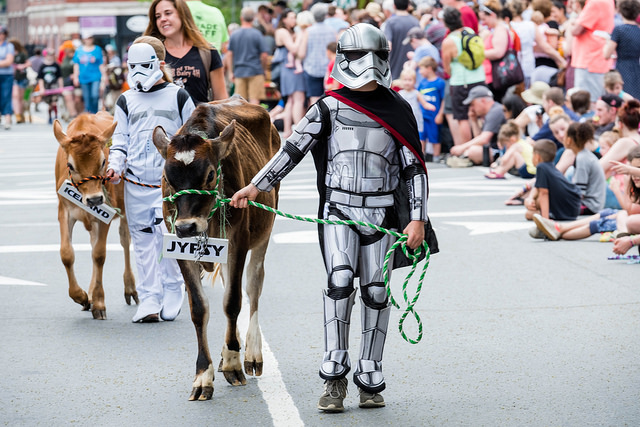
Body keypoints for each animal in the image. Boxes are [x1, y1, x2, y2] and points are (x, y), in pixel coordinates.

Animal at [53, 112, 138, 320]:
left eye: (103, 162)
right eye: (70, 165)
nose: (94, 199)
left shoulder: (105, 213)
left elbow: (99, 255)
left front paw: (99, 303)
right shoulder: (64, 210)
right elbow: (66, 253)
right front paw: (82, 296)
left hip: (124, 209)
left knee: (125, 240)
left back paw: (129, 288)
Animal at [152, 97, 280, 402]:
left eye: (210, 174)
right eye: (167, 177)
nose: (187, 227)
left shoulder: (238, 241)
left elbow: (232, 301)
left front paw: (233, 363)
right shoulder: (180, 248)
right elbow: (199, 308)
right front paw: (203, 376)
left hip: (265, 230)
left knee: (253, 286)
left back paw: (252, 354)